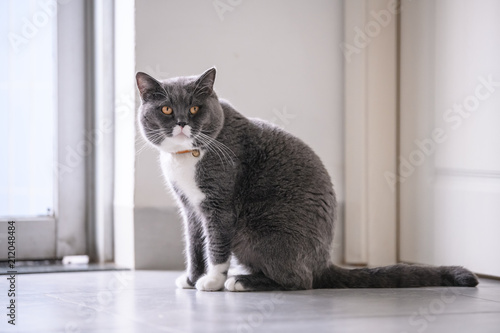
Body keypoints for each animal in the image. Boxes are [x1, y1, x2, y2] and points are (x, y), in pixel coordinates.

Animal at [135, 67, 478, 290]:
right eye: (166, 109)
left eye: (195, 108)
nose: (181, 122)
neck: (186, 158)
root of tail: (323, 261)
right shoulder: (190, 208)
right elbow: (194, 246)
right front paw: (191, 279)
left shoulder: (219, 206)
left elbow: (216, 244)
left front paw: (212, 281)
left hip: (260, 230)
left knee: (301, 281)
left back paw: (242, 281)